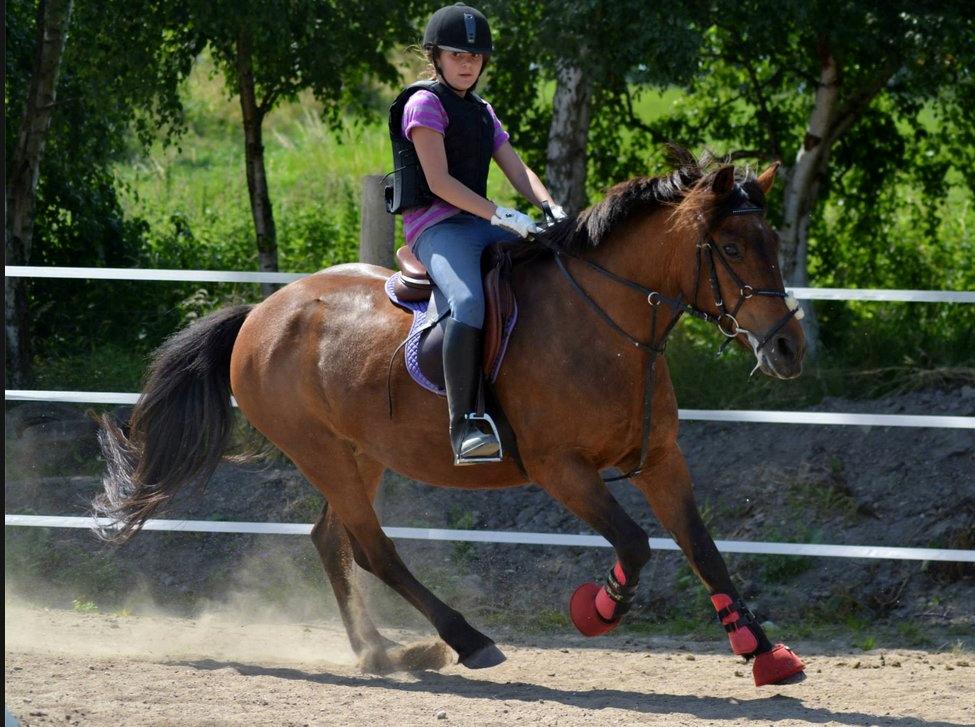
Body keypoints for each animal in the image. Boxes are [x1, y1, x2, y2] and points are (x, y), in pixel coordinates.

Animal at [93, 149, 808, 688]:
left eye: (771, 242)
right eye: (732, 249)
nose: (788, 349)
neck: (607, 325)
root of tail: (261, 314)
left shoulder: (660, 460)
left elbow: (703, 550)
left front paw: (765, 654)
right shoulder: (561, 469)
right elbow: (634, 544)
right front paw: (596, 612)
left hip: (359, 453)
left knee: (331, 540)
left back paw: (383, 653)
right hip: (319, 450)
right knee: (371, 548)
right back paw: (464, 639)